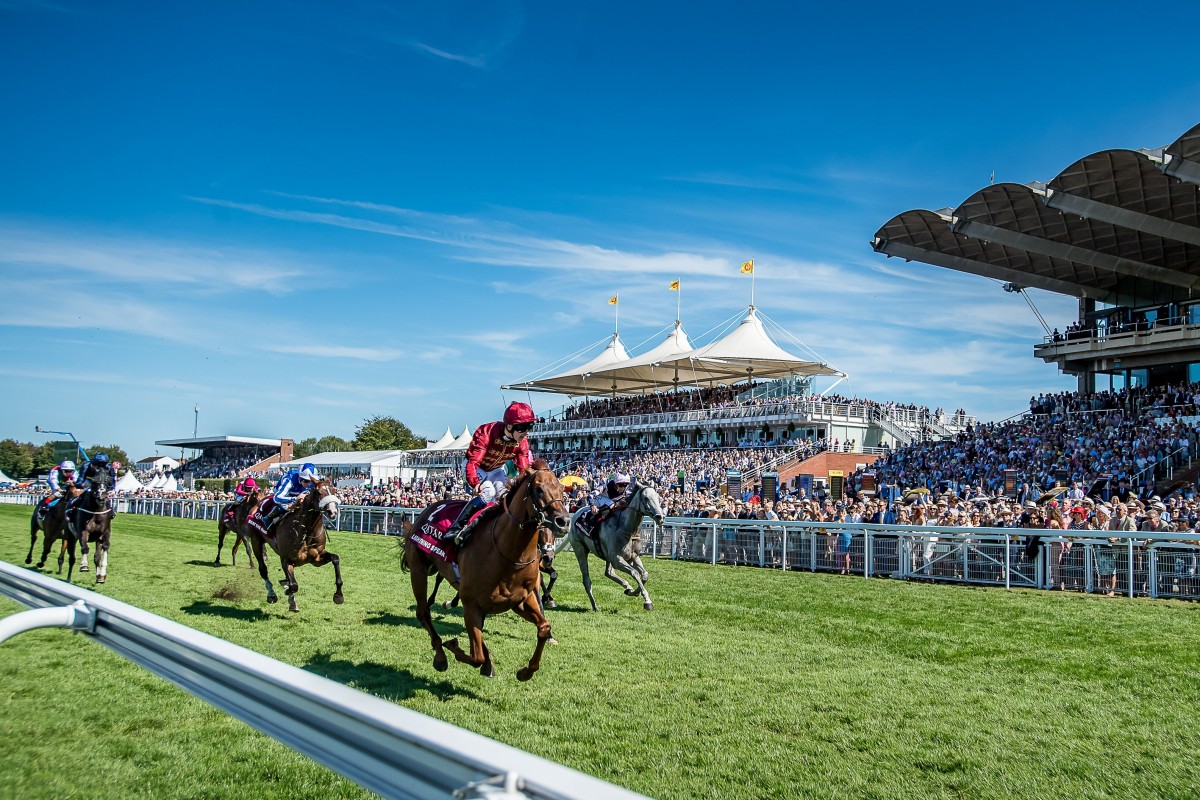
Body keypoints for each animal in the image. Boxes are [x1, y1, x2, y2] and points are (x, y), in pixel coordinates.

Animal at [246, 479, 343, 618]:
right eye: (318, 492)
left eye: (334, 490)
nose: (332, 512)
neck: (306, 531)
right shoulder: (286, 559)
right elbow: (293, 585)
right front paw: (287, 592)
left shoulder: (317, 558)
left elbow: (335, 559)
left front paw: (338, 595)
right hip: (256, 540)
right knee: (263, 570)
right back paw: (271, 594)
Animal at [403, 462, 571, 681]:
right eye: (539, 489)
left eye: (562, 489)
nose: (564, 521)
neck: (507, 553)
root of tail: (428, 509)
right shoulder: (472, 603)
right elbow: (476, 656)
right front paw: (453, 645)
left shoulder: (519, 600)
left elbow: (543, 627)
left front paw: (525, 671)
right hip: (418, 570)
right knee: (423, 612)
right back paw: (440, 654)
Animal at [559, 482, 667, 614]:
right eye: (646, 498)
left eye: (658, 497)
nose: (660, 517)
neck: (626, 529)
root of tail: (576, 513)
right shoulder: (616, 558)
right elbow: (635, 573)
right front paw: (647, 601)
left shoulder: (633, 557)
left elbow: (645, 575)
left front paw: (633, 591)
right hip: (580, 549)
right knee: (587, 580)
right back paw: (595, 606)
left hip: (607, 556)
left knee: (608, 573)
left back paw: (627, 586)